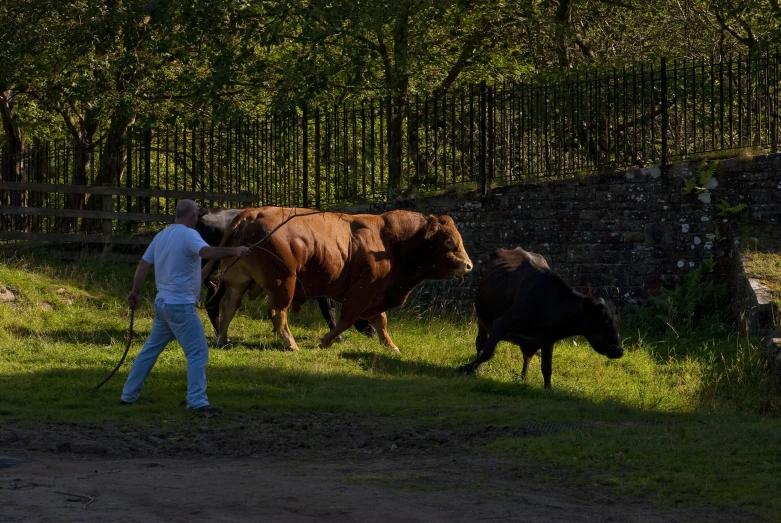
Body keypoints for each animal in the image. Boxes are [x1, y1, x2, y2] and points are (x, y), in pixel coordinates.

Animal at [458, 249, 620, 388]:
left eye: (615, 321)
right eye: (606, 322)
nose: (620, 350)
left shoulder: (547, 339)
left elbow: (547, 368)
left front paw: (548, 389)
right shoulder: (500, 323)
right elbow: (487, 352)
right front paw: (466, 368)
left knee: (526, 356)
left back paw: (523, 377)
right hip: (482, 321)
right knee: (480, 343)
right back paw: (478, 368)